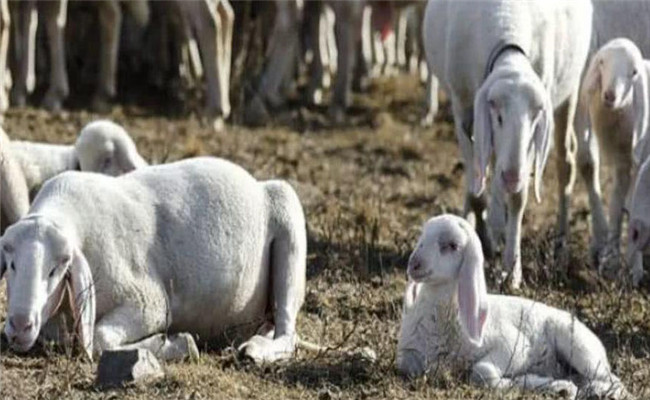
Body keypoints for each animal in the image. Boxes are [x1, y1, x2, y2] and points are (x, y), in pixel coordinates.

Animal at [0, 157, 306, 366]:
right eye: (11, 263)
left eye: (58, 267)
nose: (20, 326)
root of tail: (257, 184)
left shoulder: (150, 303)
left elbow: (101, 340)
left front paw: (176, 344)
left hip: (288, 218)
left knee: (287, 332)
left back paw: (255, 351)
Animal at [394, 216, 628, 400]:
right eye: (422, 237)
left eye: (452, 245)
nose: (414, 265)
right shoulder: (408, 357)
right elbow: (407, 366)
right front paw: (552, 386)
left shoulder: (515, 347)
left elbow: (481, 372)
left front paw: (514, 383)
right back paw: (571, 387)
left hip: (579, 346)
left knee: (613, 381)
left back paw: (594, 391)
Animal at [420, 0, 592, 288]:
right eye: (498, 116)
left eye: (535, 118)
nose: (512, 176)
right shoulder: (463, 109)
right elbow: (476, 188)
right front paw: (482, 237)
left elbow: (517, 199)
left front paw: (512, 270)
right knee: (481, 174)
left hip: (571, 90)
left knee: (565, 163)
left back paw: (560, 243)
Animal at [572, 38, 648, 276]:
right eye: (602, 63)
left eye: (634, 72)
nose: (610, 95)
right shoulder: (622, 159)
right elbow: (616, 202)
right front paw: (612, 258)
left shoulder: (640, 159)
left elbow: (634, 205)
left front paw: (635, 268)